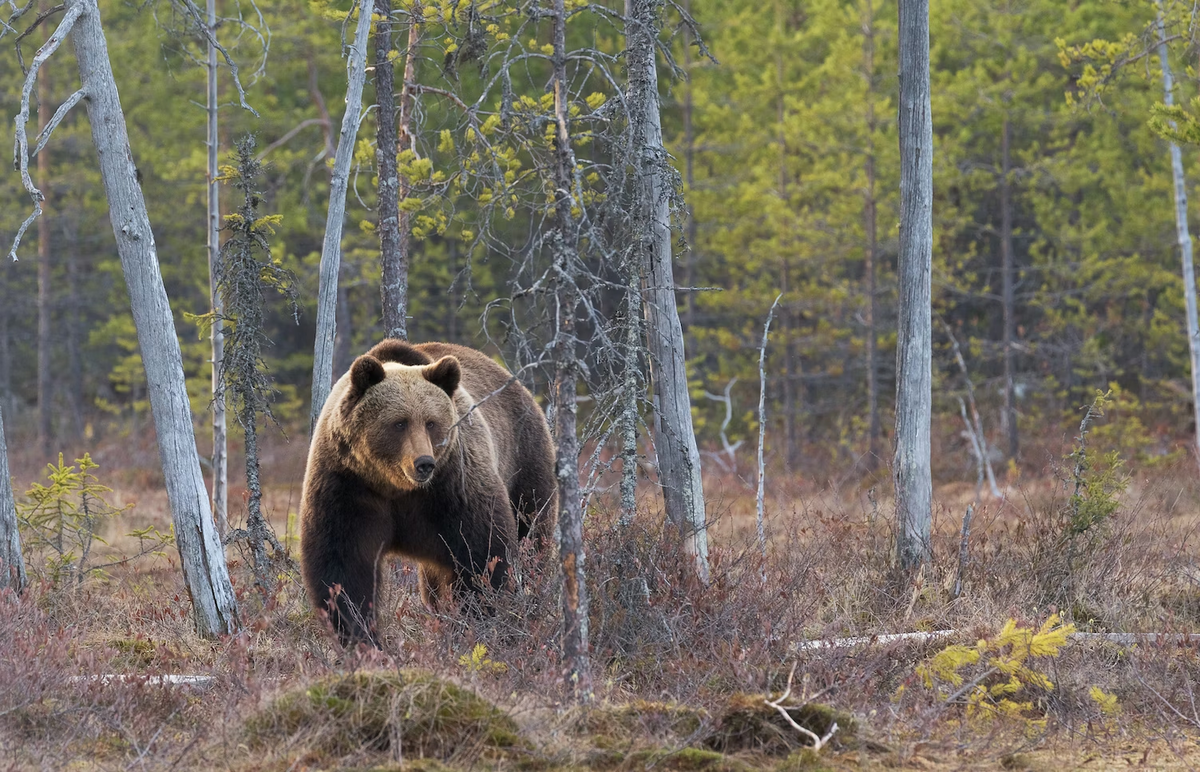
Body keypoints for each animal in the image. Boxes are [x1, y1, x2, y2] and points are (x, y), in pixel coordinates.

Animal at [302, 340, 559, 648]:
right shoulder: (348, 485)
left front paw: (477, 621)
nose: (424, 463)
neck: (395, 486)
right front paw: (361, 636)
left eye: (431, 422)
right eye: (399, 422)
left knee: (531, 534)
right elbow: (343, 565)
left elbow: (482, 553)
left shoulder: (453, 486)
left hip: (524, 461)